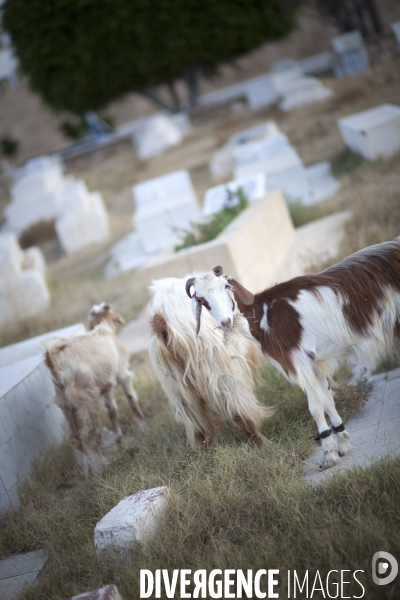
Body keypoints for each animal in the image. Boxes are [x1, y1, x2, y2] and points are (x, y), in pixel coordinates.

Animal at [186, 239, 400, 468]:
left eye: (226, 287)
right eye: (202, 300)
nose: (226, 321)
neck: (263, 316)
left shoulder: (299, 361)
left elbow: (315, 407)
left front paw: (328, 454)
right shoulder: (315, 363)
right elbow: (327, 400)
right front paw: (342, 444)